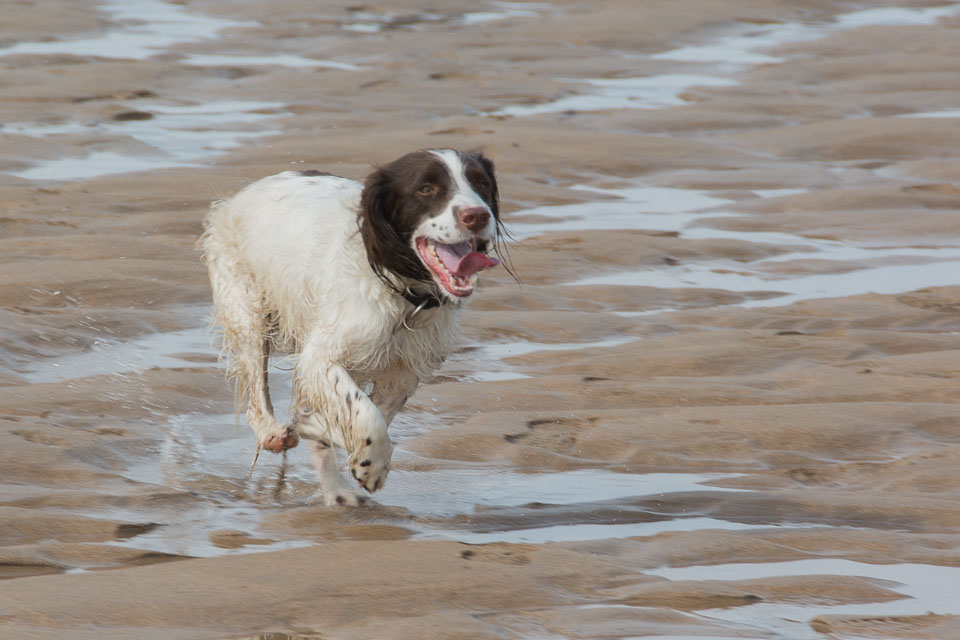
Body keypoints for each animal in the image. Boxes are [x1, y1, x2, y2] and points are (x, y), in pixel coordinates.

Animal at [200, 150, 506, 504]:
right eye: (426, 188)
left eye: (480, 183)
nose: (478, 216)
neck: (404, 295)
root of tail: (240, 196)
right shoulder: (320, 357)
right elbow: (367, 415)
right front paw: (370, 466)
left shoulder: (404, 371)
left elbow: (369, 416)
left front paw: (326, 434)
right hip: (249, 314)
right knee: (256, 398)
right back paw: (274, 433)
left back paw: (336, 489)